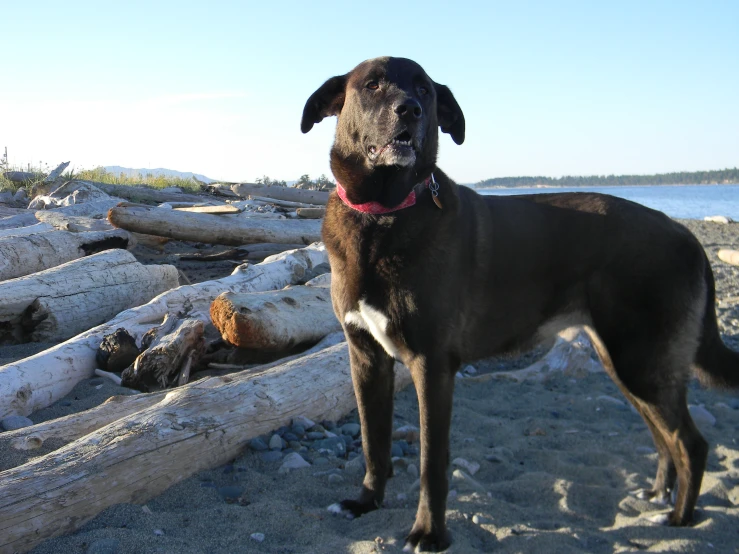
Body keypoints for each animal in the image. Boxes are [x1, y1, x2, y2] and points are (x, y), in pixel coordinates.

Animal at [300, 58, 739, 548]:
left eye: (425, 90)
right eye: (373, 84)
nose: (409, 110)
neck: (384, 214)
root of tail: (688, 235)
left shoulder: (431, 366)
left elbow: (432, 463)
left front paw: (429, 532)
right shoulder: (366, 358)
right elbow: (373, 444)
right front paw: (365, 502)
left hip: (641, 362)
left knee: (691, 443)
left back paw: (679, 519)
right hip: (627, 364)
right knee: (665, 438)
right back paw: (658, 495)